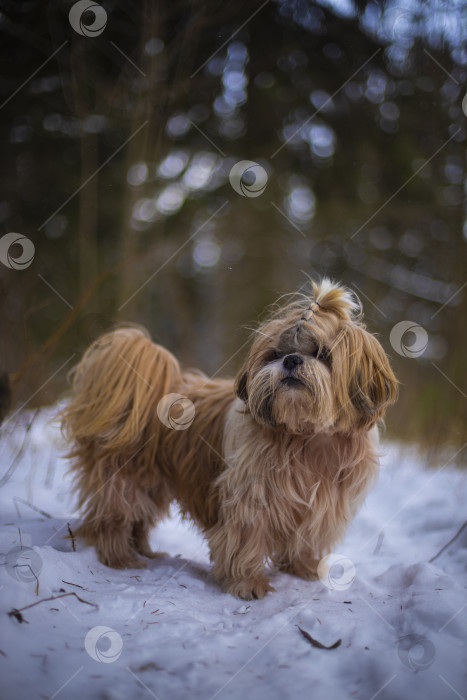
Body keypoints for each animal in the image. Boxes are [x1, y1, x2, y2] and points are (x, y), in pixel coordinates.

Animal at [61, 282, 398, 600]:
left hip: (151, 480)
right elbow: (246, 540)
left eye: (322, 354)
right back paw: (120, 557)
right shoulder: (251, 498)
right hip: (124, 476)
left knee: (137, 518)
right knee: (114, 517)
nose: (290, 360)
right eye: (274, 354)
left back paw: (144, 551)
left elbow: (305, 538)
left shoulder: (323, 506)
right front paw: (247, 583)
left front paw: (302, 569)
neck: (307, 435)